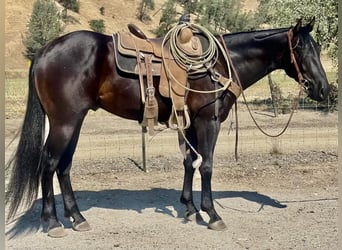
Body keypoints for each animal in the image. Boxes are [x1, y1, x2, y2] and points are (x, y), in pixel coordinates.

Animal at [5, 18, 330, 237]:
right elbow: (206, 165)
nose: (323, 89)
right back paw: (53, 222)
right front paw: (212, 214)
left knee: (64, 166)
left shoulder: (189, 122)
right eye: (302, 49)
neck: (220, 65)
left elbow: (189, 162)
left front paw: (189, 207)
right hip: (64, 122)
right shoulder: (208, 121)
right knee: (48, 164)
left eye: (317, 48)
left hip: (75, 120)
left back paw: (77, 218)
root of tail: (45, 50)